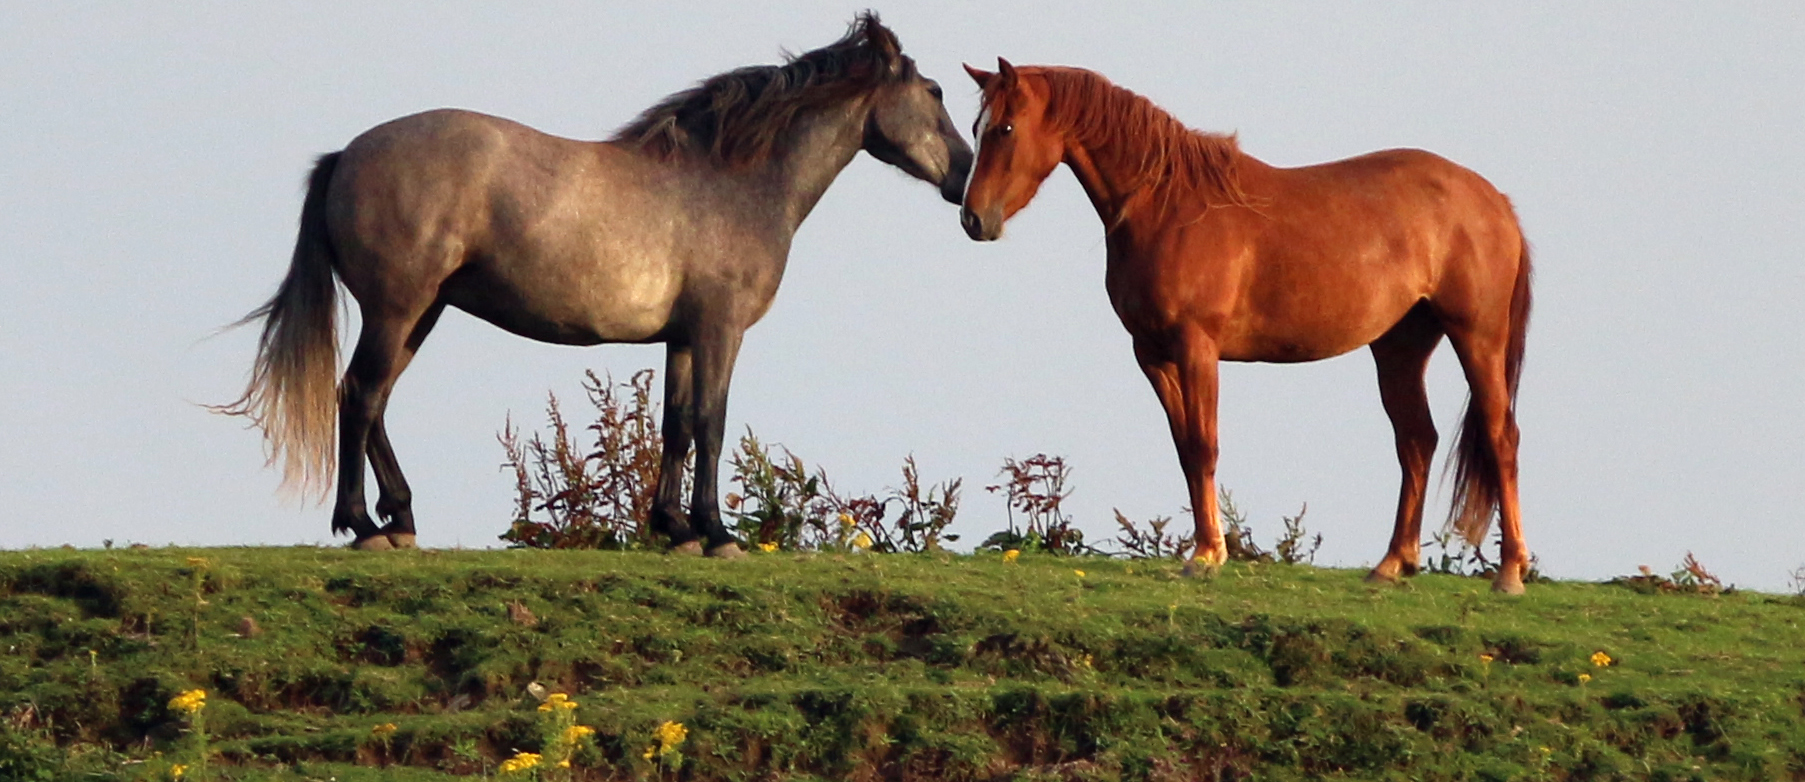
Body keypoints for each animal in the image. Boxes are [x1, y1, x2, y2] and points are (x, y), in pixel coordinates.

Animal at [218, 14, 972, 557]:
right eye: (935, 94)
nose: (965, 176)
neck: (729, 179)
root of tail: (347, 154)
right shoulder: (719, 329)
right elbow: (711, 422)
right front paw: (716, 534)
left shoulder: (682, 338)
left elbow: (675, 426)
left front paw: (674, 528)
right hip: (397, 308)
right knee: (359, 394)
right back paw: (366, 526)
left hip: (420, 312)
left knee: (372, 399)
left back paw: (400, 517)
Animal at [959, 60, 1532, 593]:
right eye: (975, 126)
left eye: (1005, 128)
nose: (973, 219)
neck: (1167, 206)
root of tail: (1494, 200)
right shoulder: (1152, 355)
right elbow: (1185, 449)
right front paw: (1207, 548)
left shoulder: (1197, 348)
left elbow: (1204, 446)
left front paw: (1208, 555)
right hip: (1400, 347)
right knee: (1416, 442)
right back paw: (1392, 564)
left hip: (1477, 337)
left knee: (1500, 437)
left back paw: (1509, 571)